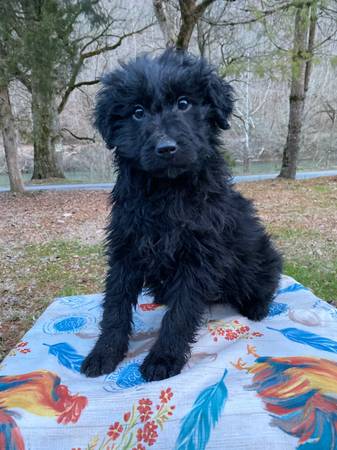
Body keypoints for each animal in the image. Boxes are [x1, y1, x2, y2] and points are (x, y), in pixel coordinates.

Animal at [80, 48, 280, 380]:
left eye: (184, 103)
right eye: (137, 112)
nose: (166, 148)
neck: (167, 193)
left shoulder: (198, 257)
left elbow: (181, 313)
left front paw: (164, 357)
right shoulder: (126, 249)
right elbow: (115, 306)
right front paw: (104, 352)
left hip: (258, 258)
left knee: (267, 281)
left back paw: (257, 307)